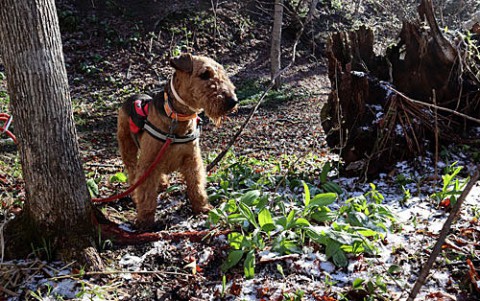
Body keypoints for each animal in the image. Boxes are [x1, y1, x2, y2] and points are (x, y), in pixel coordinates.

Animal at [116, 52, 236, 229]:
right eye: (204, 74)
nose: (232, 101)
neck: (177, 117)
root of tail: (133, 96)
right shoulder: (148, 163)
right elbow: (146, 194)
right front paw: (145, 221)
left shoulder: (192, 159)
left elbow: (196, 186)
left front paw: (202, 207)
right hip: (127, 146)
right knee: (132, 172)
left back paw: (162, 184)